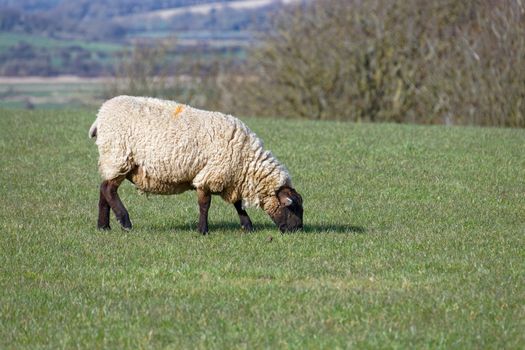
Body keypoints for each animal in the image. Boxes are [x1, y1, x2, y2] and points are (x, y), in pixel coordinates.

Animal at [89, 94, 302, 234]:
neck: (247, 162)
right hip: (118, 156)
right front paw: (202, 230)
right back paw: (124, 222)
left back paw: (103, 226)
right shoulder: (210, 175)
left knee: (103, 189)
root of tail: (100, 116)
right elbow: (205, 204)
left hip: (113, 160)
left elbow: (237, 204)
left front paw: (247, 226)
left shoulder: (230, 177)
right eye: (294, 208)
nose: (298, 230)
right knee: (108, 189)